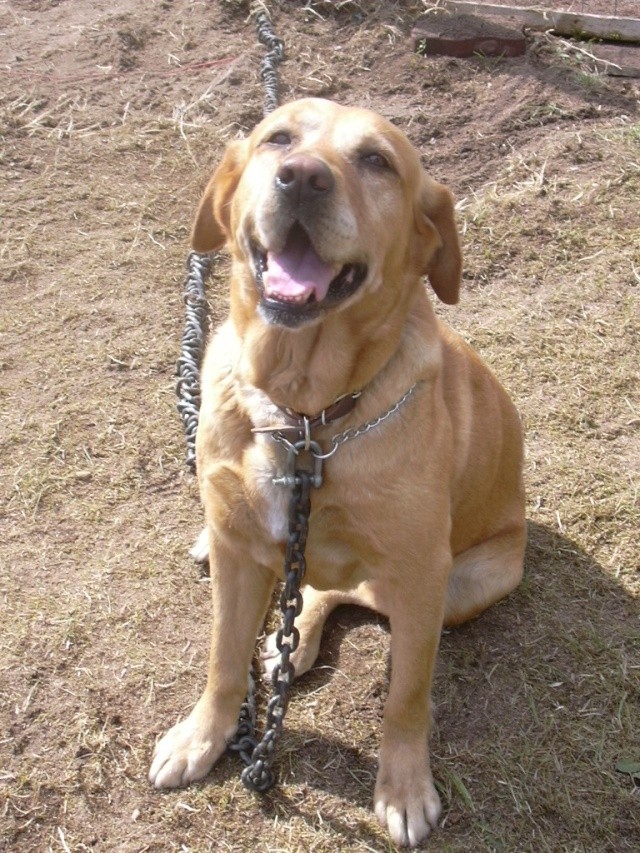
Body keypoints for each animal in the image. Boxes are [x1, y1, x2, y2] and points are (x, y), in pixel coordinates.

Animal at [150, 98, 524, 844]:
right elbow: (222, 660)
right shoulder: (238, 559)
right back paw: (282, 644)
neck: (305, 413)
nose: (300, 177)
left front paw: (403, 789)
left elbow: (407, 697)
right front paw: (201, 736)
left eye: (377, 160)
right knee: (317, 587)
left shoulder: (419, 569)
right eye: (278, 138)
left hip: (467, 584)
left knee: (353, 594)